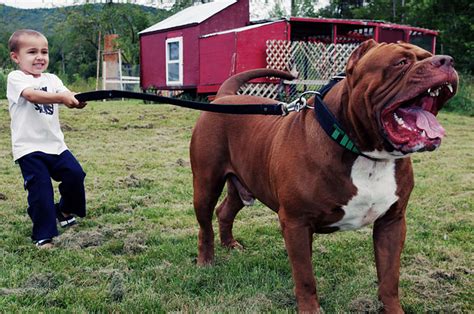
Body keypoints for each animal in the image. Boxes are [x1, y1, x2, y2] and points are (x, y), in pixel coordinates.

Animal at [190, 40, 460, 312]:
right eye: (401, 62)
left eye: (428, 55)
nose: (446, 60)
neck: (367, 153)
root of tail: (224, 96)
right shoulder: (297, 223)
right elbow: (305, 276)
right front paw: (310, 308)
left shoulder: (392, 222)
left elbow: (389, 277)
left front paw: (393, 308)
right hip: (206, 184)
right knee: (205, 224)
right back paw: (206, 261)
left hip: (245, 183)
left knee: (225, 211)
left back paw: (230, 245)